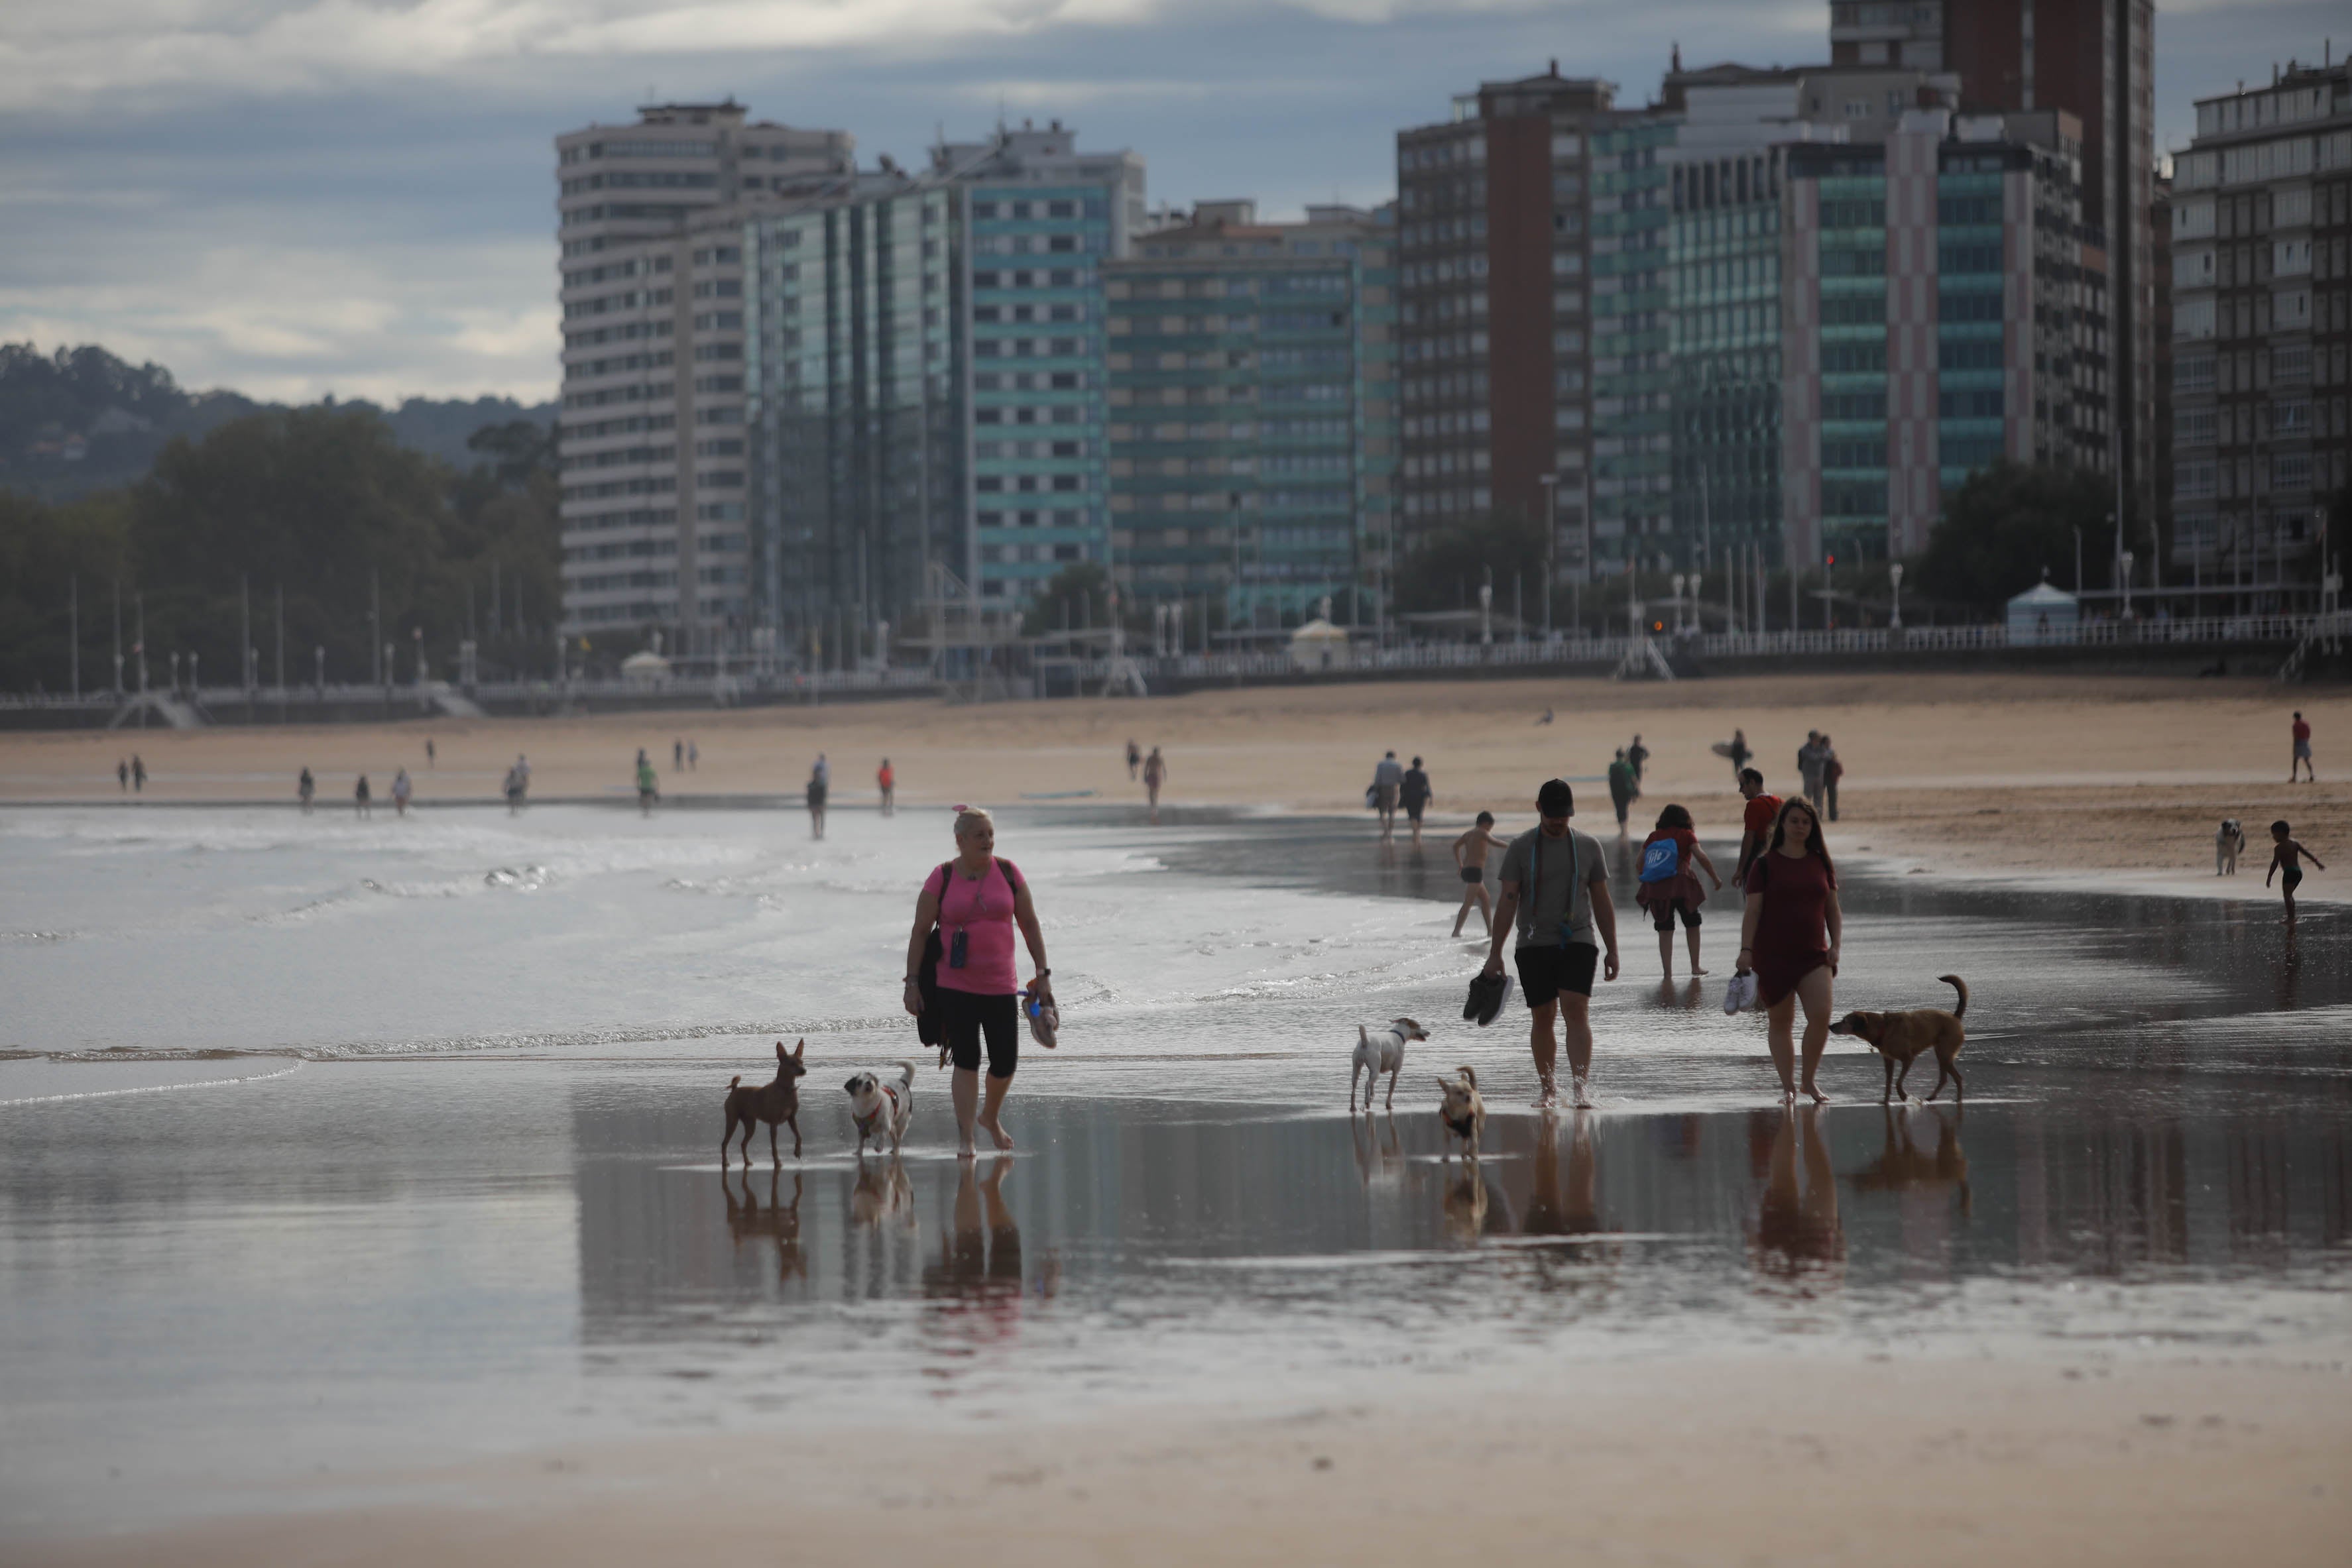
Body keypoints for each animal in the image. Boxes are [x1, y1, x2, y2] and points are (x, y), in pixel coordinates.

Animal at [724, 1043, 809, 1166]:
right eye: (792, 1064)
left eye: (802, 1062)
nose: (804, 1070)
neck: (786, 1090)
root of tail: (734, 1090)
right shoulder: (774, 1124)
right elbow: (774, 1147)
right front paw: (777, 1162)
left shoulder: (792, 1118)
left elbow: (799, 1136)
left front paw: (797, 1151)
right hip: (732, 1122)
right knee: (724, 1144)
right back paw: (725, 1162)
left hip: (750, 1125)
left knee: (743, 1144)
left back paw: (747, 1162)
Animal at [1354, 1020, 1420, 1114]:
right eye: (1419, 1026)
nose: (1428, 1033)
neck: (1398, 1034)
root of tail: (1365, 1042)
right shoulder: (1395, 1073)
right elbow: (1390, 1091)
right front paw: (1388, 1105)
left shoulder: (1372, 1071)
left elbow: (1372, 1087)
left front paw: (1372, 1096)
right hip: (1376, 1072)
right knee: (1367, 1084)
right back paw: (1366, 1102)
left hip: (1357, 1069)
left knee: (1354, 1089)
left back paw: (1355, 1107)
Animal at [1430, 1067, 1486, 1166]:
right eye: (1459, 1093)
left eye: (1469, 1091)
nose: (1469, 1096)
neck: (1459, 1112)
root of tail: (1475, 1090)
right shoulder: (1446, 1133)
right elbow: (1446, 1145)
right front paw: (1445, 1158)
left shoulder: (1473, 1131)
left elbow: (1474, 1143)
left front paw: (1472, 1154)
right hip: (1464, 1134)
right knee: (1465, 1142)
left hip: (1480, 1126)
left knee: (1476, 1141)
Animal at [1825, 968, 1975, 1105]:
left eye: (1845, 1021)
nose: (1830, 1026)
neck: (1883, 1028)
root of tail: (1955, 1017)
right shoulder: (1888, 1061)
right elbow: (1888, 1082)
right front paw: (1885, 1101)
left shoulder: (1908, 1058)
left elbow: (1898, 1082)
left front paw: (1903, 1096)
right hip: (1942, 1053)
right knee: (1945, 1079)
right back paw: (1933, 1097)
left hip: (1944, 1052)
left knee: (1957, 1078)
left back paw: (1957, 1099)